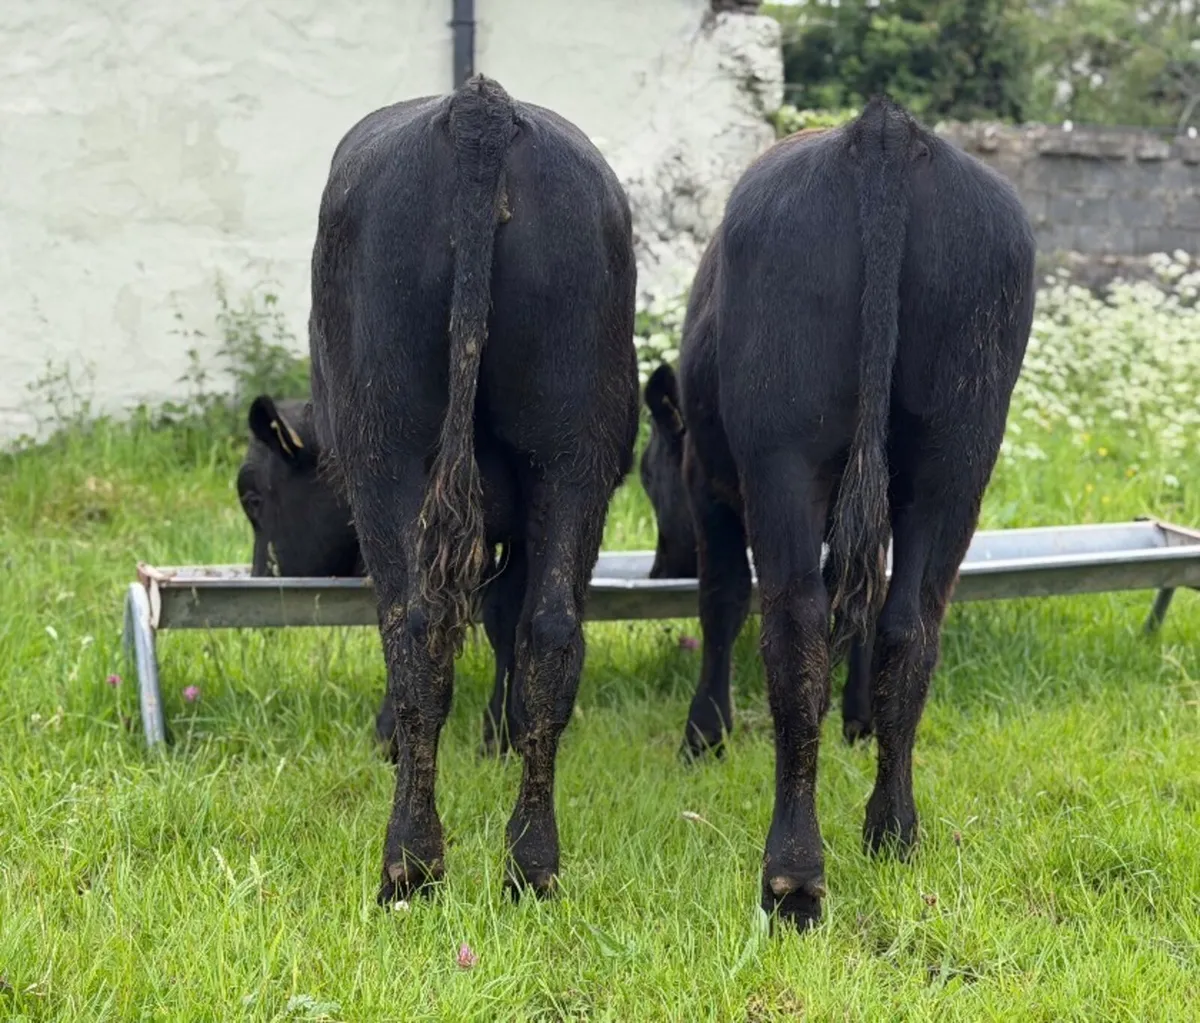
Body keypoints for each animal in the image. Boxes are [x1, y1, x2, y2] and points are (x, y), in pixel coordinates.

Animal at [307, 75, 639, 905]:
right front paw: (498, 735)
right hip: (575, 447)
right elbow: (506, 620)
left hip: (387, 447)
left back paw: (411, 861)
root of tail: (480, 109)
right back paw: (532, 863)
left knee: (416, 628)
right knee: (550, 632)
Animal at [639, 96, 1035, 930]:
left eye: (647, 473)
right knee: (908, 624)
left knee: (793, 627)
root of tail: (884, 131)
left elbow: (724, 603)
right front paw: (857, 719)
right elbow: (867, 602)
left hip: (781, 454)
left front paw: (705, 735)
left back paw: (793, 874)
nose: (660, 565)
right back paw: (893, 829)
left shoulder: (706, 486)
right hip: (959, 452)